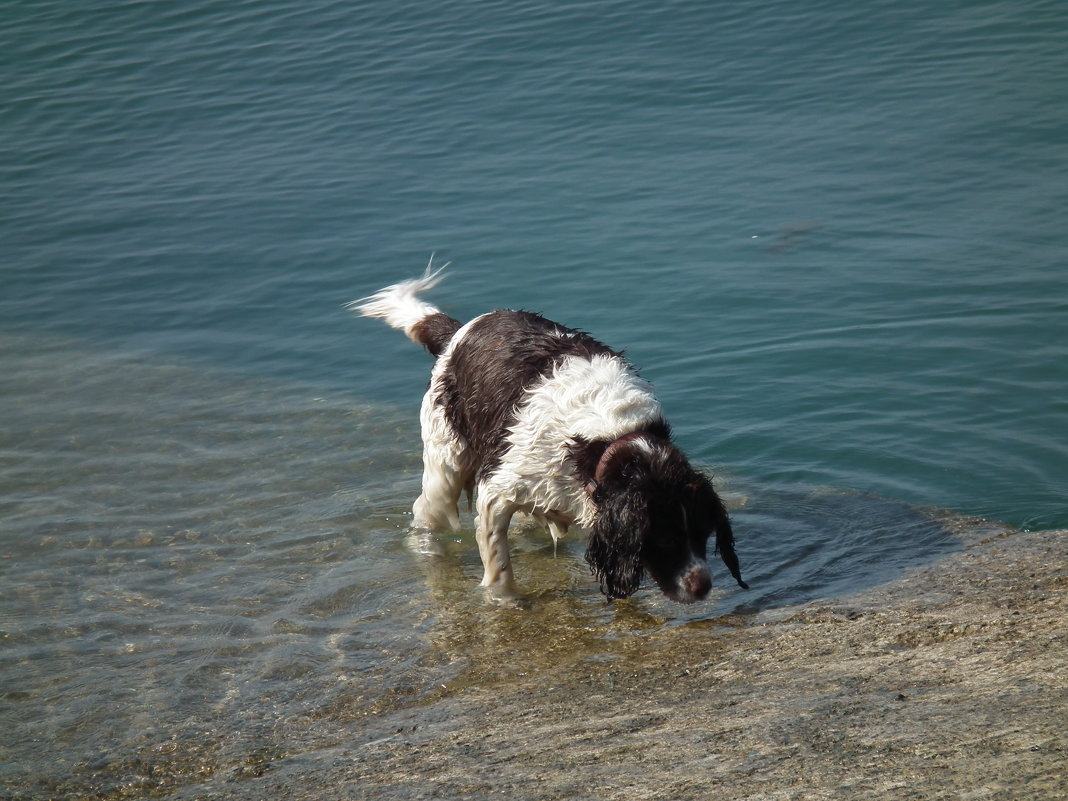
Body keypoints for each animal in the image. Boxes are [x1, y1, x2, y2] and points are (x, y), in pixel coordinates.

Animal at [346, 260, 747, 606]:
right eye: (664, 538)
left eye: (704, 532)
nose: (703, 586)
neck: (606, 440)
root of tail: (459, 331)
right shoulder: (497, 490)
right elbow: (498, 564)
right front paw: (506, 602)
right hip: (444, 461)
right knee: (426, 514)